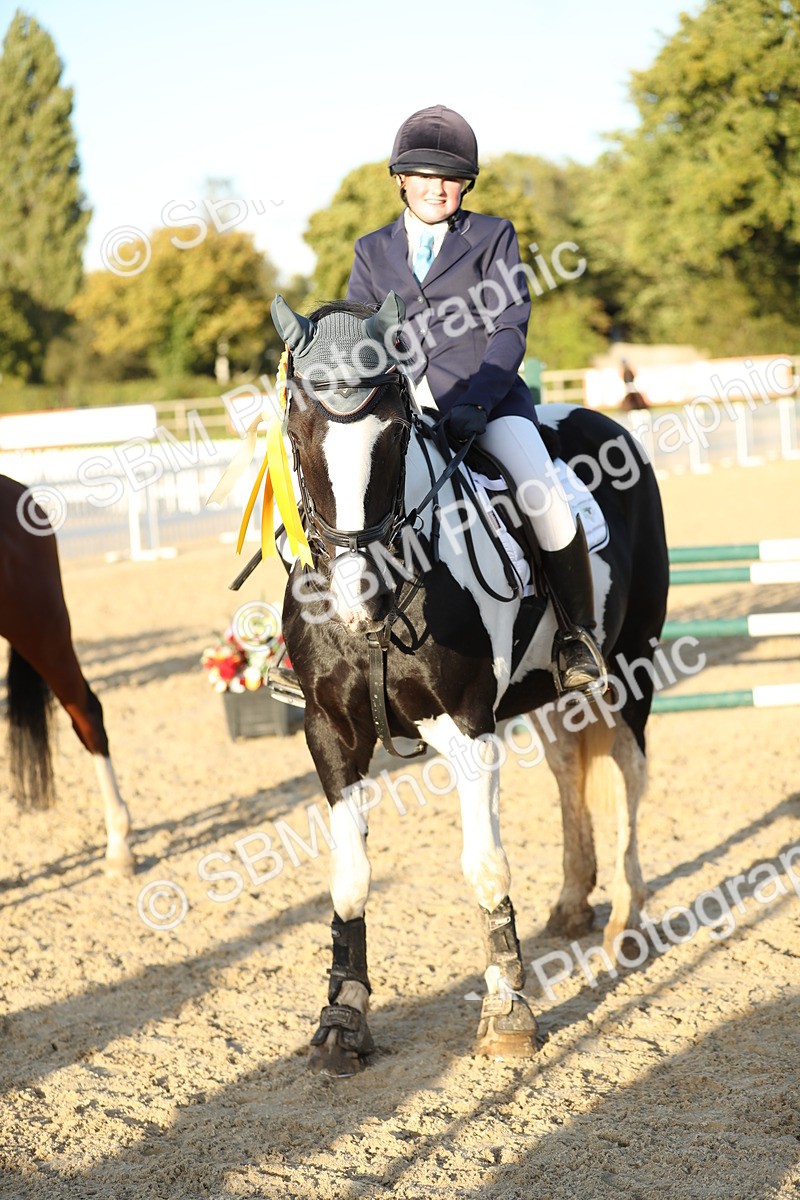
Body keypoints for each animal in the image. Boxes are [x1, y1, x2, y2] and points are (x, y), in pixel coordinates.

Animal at [267, 293, 669, 1075]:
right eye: (298, 433)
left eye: (394, 434)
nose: (360, 598)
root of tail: (604, 420)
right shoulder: (329, 732)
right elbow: (350, 877)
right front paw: (342, 1020)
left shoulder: (468, 729)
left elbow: (485, 866)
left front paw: (507, 1012)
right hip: (548, 692)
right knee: (568, 768)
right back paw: (572, 904)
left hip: (630, 668)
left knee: (630, 774)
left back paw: (626, 924)